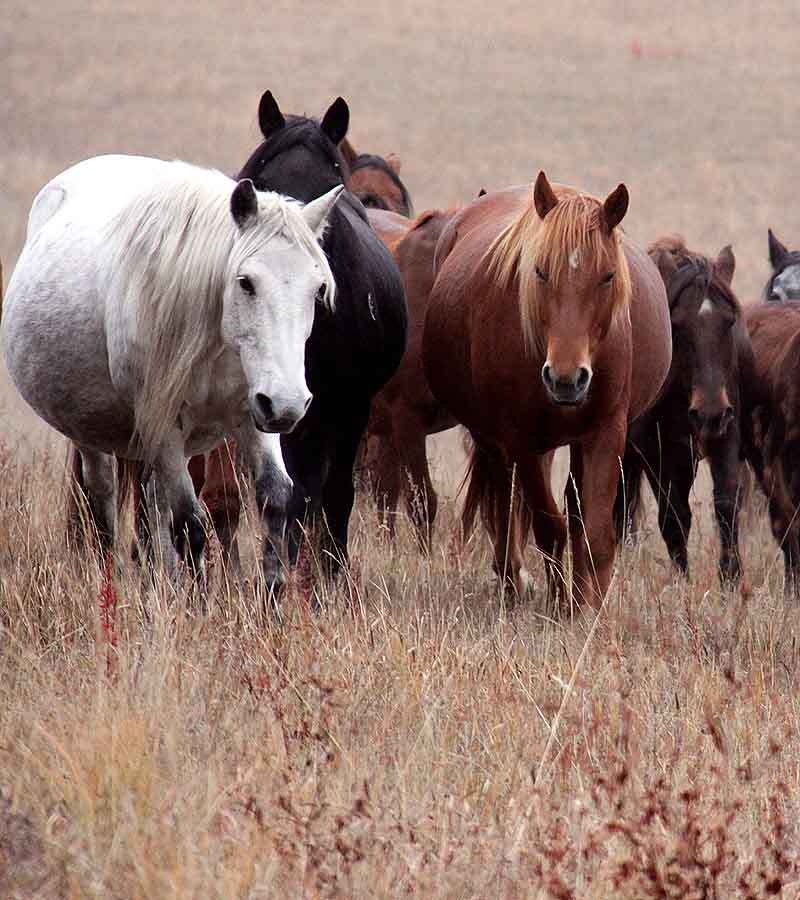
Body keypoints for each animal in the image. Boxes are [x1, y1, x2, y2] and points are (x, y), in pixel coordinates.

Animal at [3, 155, 342, 588]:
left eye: (317, 288)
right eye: (246, 282)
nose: (288, 405)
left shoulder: (252, 413)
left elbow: (275, 498)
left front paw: (271, 597)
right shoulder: (165, 425)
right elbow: (190, 523)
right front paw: (199, 602)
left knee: (152, 505)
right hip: (91, 433)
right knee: (105, 497)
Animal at [234, 93, 406, 584]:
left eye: (330, 192)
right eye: (259, 187)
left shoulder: (350, 406)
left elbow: (335, 493)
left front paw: (331, 573)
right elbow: (281, 492)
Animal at [422, 172, 672, 608]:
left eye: (607, 276)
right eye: (540, 272)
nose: (566, 379)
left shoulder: (606, 433)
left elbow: (594, 533)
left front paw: (587, 607)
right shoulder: (520, 440)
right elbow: (547, 526)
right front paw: (559, 603)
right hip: (497, 440)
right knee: (505, 496)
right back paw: (512, 578)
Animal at [612, 236, 756, 588]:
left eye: (729, 321)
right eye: (677, 325)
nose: (709, 413)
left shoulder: (725, 437)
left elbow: (726, 503)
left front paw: (731, 578)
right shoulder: (657, 452)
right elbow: (674, 518)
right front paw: (681, 581)